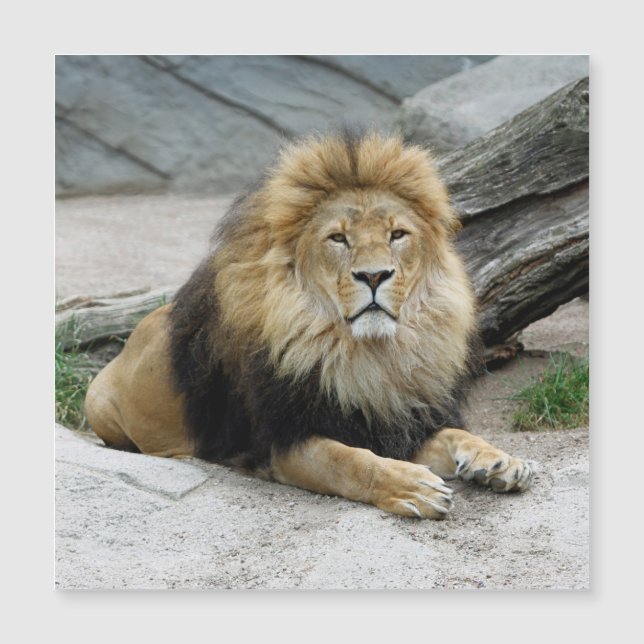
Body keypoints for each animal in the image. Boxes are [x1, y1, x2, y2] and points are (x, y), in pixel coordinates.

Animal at [85, 130, 532, 519]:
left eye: (397, 234)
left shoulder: (397, 420)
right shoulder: (282, 442)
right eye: (339, 238)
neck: (370, 355)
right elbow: (350, 461)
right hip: (98, 404)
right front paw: (413, 486)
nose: (374, 276)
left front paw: (499, 460)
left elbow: (456, 434)